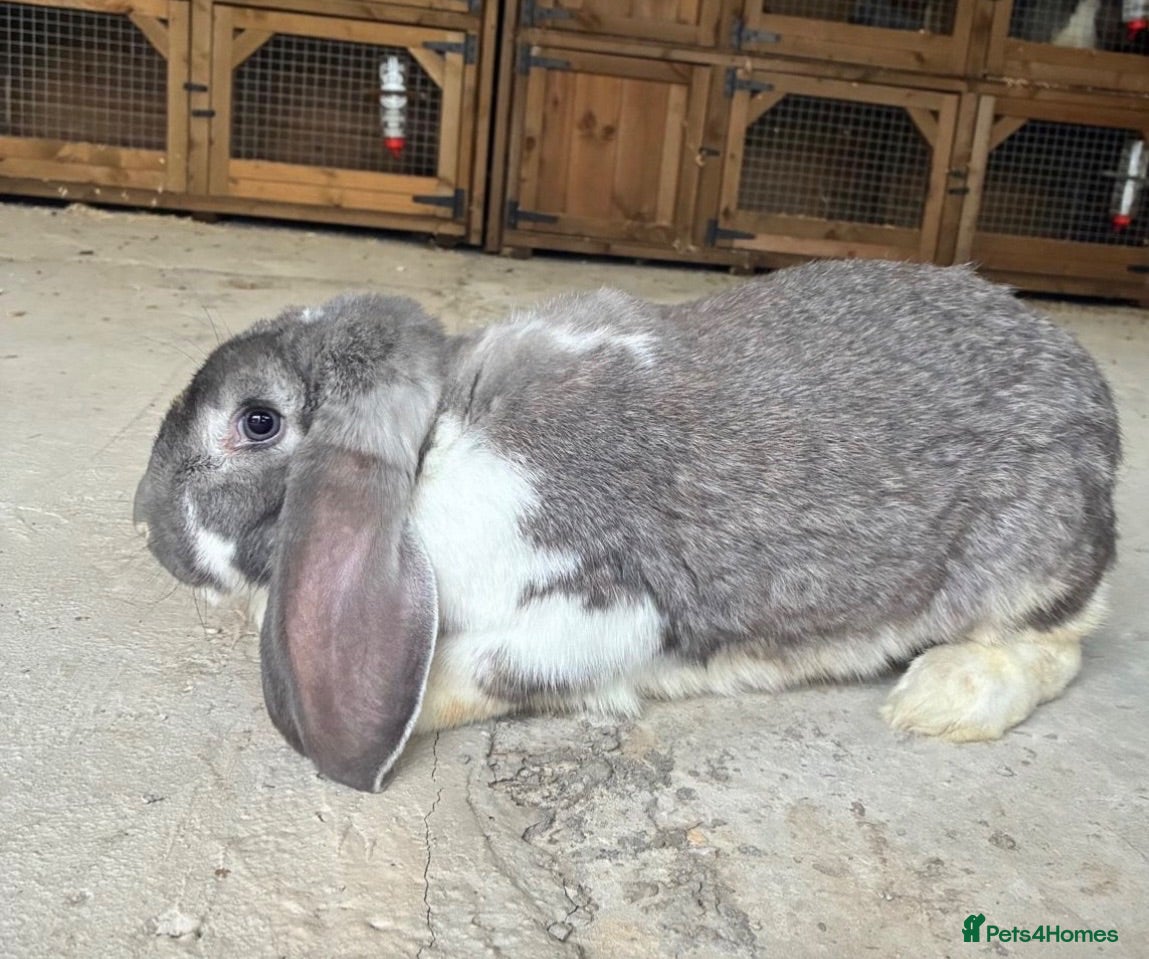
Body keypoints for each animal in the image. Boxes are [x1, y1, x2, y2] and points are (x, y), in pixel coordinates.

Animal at [134, 259, 1120, 792]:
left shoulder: (600, 609)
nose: (146, 522)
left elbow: (489, 667)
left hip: (1020, 567)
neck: (431, 449)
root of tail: (1093, 401)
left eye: (256, 421)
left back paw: (940, 700)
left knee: (1056, 646)